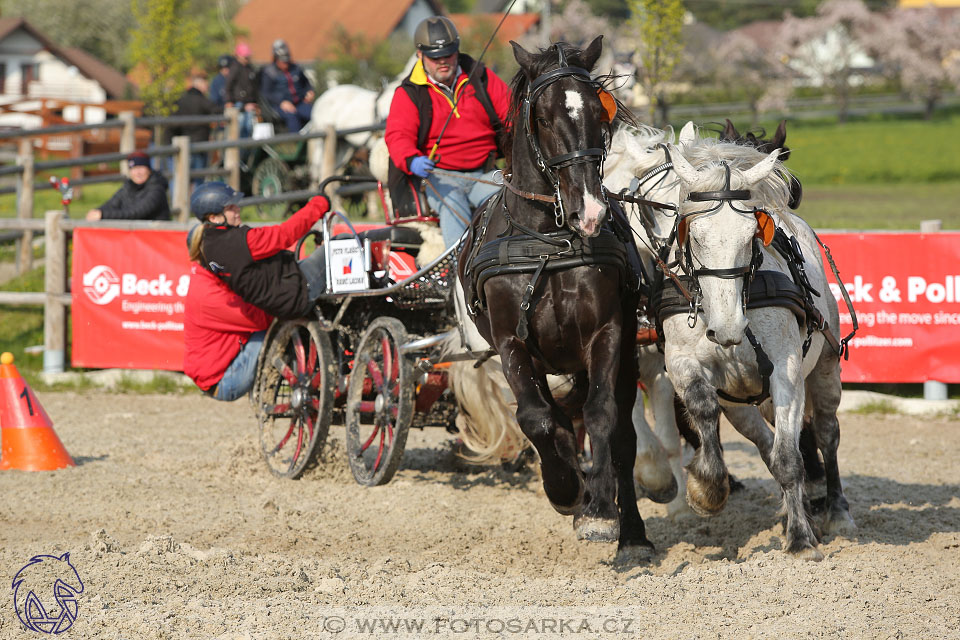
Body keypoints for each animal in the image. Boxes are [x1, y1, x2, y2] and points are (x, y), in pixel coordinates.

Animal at [458, 36, 652, 556]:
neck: (549, 241)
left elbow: (601, 417)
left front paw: (599, 511)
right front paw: (566, 489)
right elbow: (538, 420)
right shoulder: (512, 343)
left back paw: (631, 530)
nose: (591, 210)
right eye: (542, 117)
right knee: (553, 419)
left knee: (621, 438)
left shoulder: (607, 334)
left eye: (599, 112)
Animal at [664, 136, 860, 560]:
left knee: (826, 434)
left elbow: (789, 458)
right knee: (766, 442)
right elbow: (704, 407)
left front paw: (801, 540)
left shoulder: (787, 375)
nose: (727, 327)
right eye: (695, 235)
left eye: (752, 233)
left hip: (825, 370)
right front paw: (707, 488)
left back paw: (836, 511)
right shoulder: (681, 363)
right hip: (743, 406)